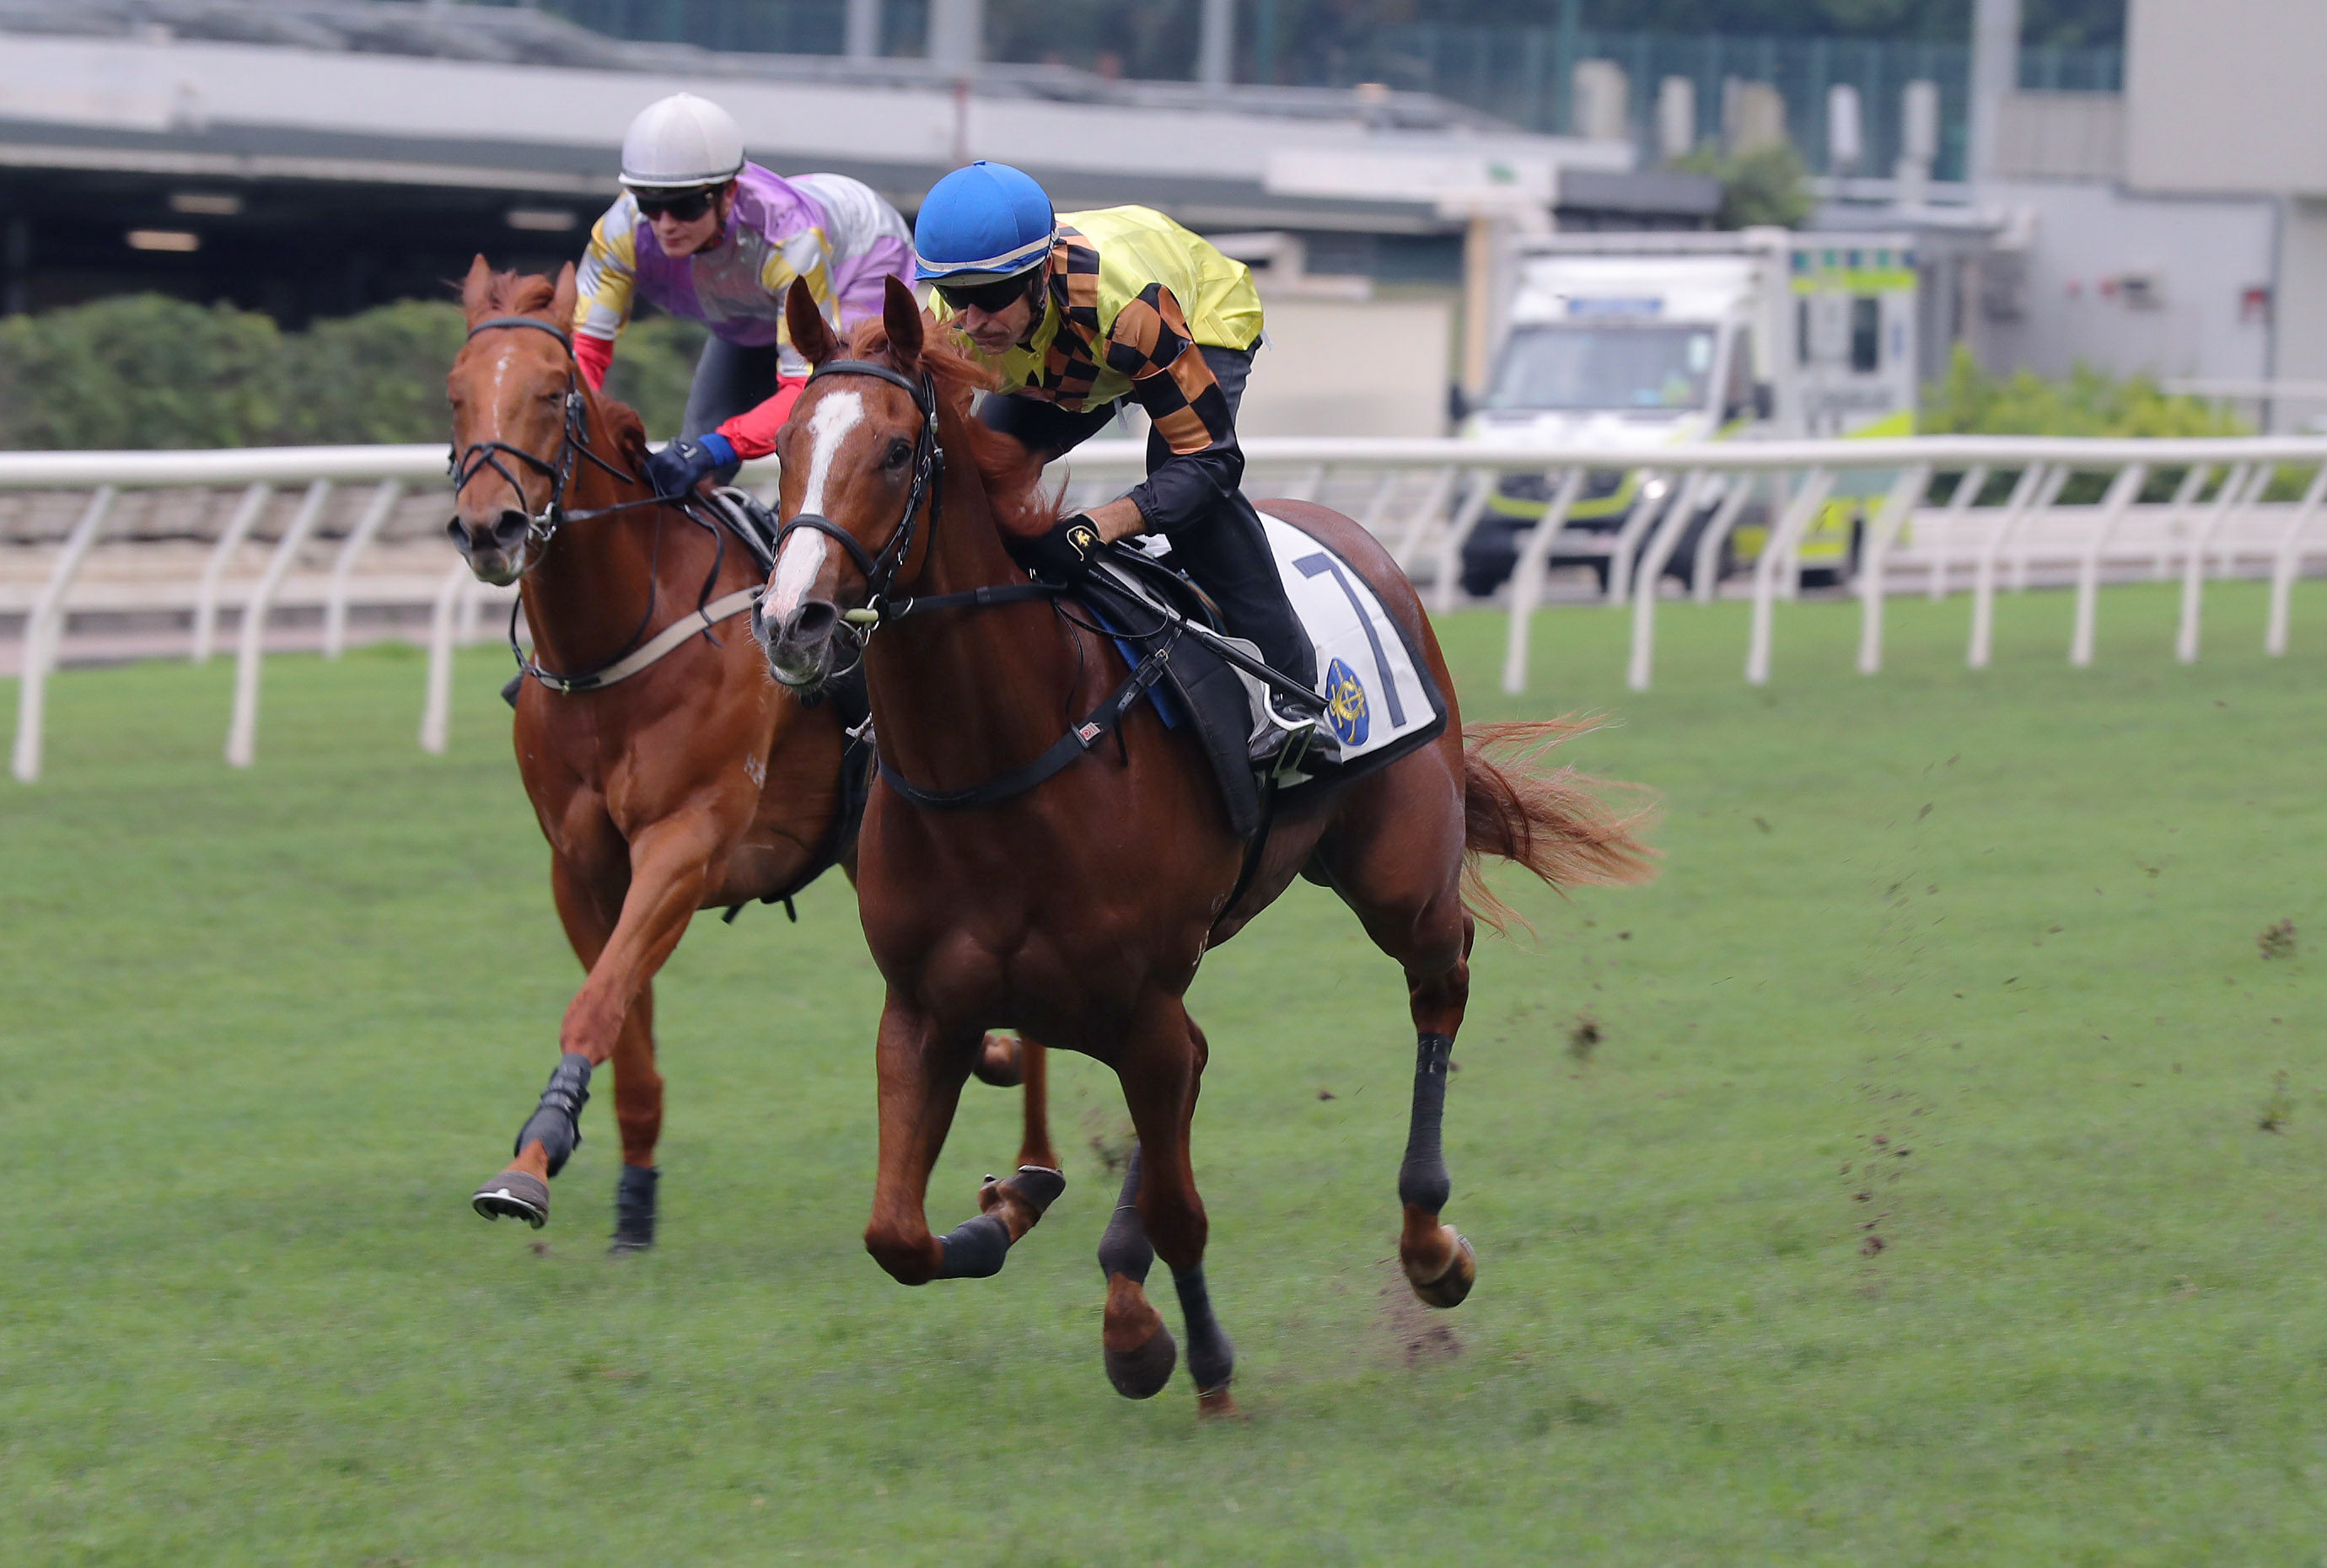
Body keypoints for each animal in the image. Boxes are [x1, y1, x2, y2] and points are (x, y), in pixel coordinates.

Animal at [442, 262, 1056, 1256]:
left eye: (552, 391)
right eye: (456, 393)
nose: (489, 526)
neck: (616, 639)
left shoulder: (684, 845)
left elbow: (600, 1001)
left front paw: (528, 1162)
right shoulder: (581, 868)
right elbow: (627, 1023)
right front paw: (616, 1194)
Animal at [754, 274, 1647, 1414]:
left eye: (899, 450)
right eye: (786, 444)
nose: (795, 622)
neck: (1001, 759)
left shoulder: (1134, 1001)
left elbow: (1184, 1210)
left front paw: (1189, 1355)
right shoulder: (925, 1010)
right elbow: (896, 1236)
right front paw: (1008, 1215)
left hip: (1396, 875)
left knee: (1439, 982)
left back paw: (1430, 1245)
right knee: (1202, 1059)